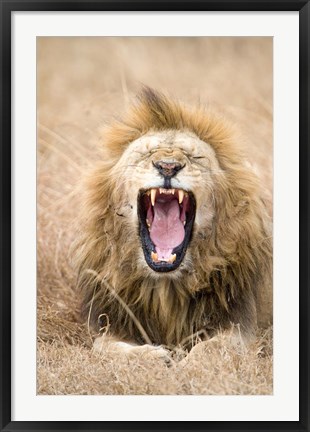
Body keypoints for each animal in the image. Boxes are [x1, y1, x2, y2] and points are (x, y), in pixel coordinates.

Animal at [72, 88, 272, 358]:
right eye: (146, 155)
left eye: (195, 157)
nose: (168, 167)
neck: (166, 285)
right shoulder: (111, 322)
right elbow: (107, 348)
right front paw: (153, 357)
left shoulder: (241, 324)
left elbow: (212, 348)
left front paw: (188, 364)